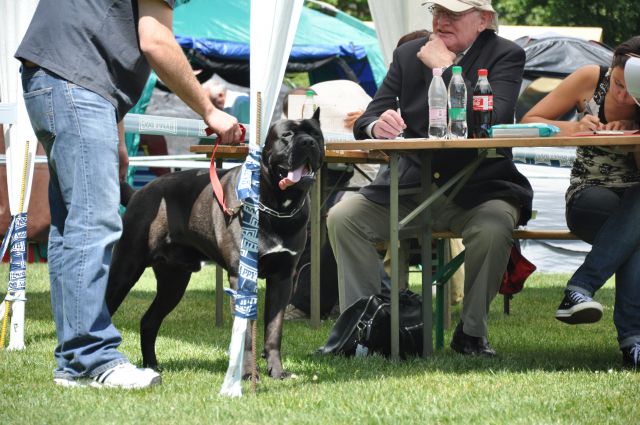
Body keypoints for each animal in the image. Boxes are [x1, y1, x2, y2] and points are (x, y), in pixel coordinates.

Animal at [108, 108, 324, 378]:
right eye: (287, 135)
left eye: (317, 134)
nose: (308, 142)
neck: (277, 205)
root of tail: (138, 192)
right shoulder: (242, 277)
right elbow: (246, 335)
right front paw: (249, 374)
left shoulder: (282, 278)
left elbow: (274, 330)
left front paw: (277, 372)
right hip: (126, 268)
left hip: (173, 281)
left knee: (149, 321)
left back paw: (152, 365)